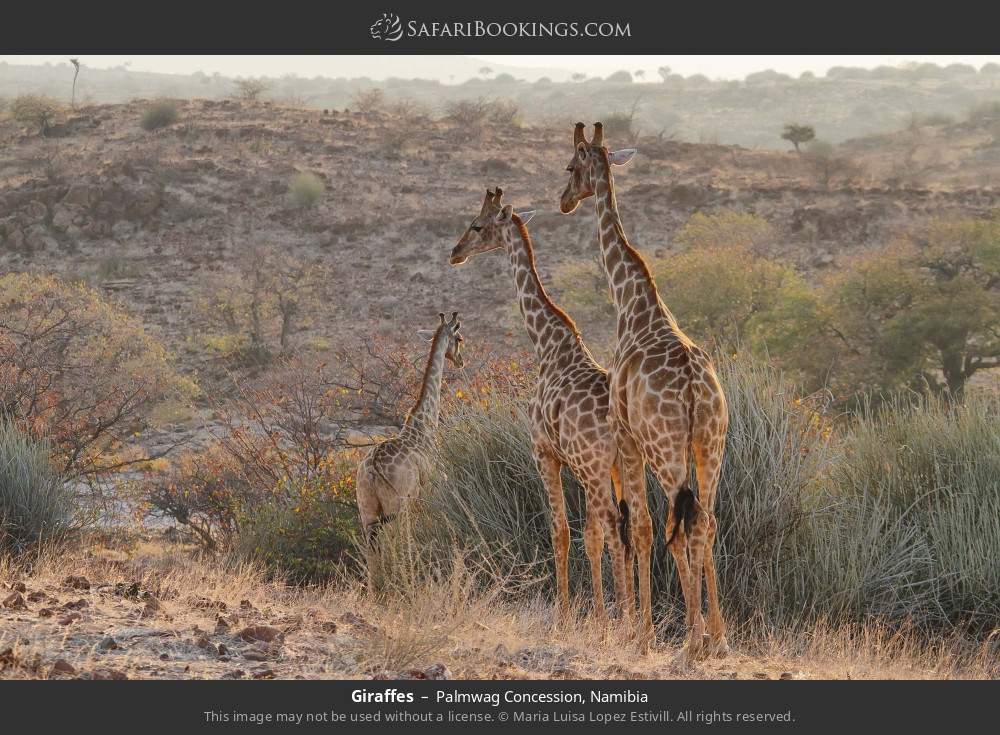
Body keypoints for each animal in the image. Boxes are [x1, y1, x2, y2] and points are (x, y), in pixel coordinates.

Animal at [356, 312, 464, 540]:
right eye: (459, 339)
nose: (461, 361)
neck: (425, 423)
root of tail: (372, 471)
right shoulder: (434, 487)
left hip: (367, 512)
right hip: (400, 505)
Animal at [454, 187, 632, 624]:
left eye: (477, 226)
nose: (455, 252)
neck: (547, 344)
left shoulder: (545, 453)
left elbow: (562, 532)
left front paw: (568, 618)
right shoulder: (575, 463)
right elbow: (588, 536)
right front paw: (596, 616)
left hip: (595, 469)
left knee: (615, 528)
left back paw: (625, 623)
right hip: (620, 468)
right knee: (633, 527)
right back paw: (635, 620)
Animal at [560, 121, 732, 660]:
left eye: (570, 167)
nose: (563, 200)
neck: (632, 301)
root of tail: (695, 388)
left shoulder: (625, 435)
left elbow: (638, 526)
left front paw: (642, 634)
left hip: (665, 447)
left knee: (683, 526)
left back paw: (692, 642)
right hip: (712, 444)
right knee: (706, 521)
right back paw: (717, 638)